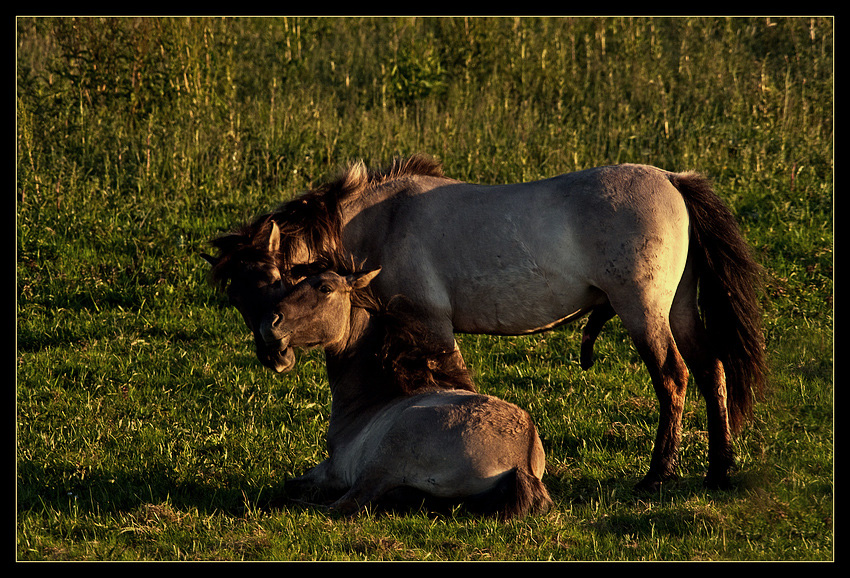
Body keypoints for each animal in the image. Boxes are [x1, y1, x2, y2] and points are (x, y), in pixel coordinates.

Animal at [204, 154, 760, 490]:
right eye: (236, 296)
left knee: (674, 379)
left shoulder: (432, 325)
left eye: (274, 278)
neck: (383, 222)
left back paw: (657, 474)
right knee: (711, 370)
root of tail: (670, 179)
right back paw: (719, 470)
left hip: (643, 312)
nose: (270, 348)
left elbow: (457, 385)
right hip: (678, 309)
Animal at [264, 266, 548, 516]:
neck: (375, 399)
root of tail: (521, 462)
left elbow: (295, 485)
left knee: (342, 505)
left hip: (383, 461)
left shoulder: (334, 469)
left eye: (325, 288)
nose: (271, 322)